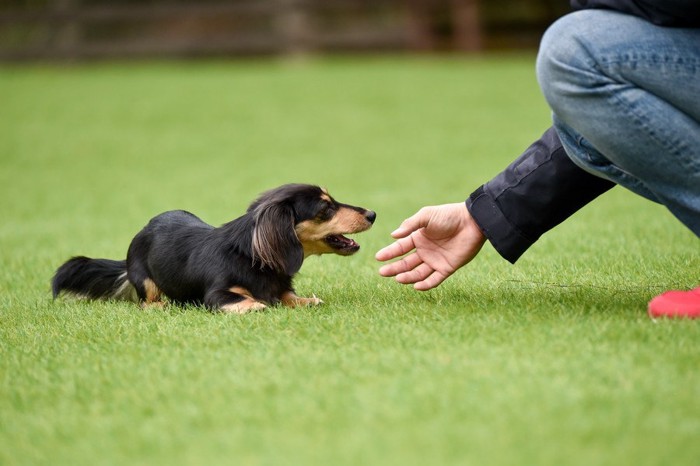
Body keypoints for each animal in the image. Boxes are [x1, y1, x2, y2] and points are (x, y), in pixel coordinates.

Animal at [53, 184, 378, 314]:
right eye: (326, 207)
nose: (373, 213)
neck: (252, 257)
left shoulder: (282, 288)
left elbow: (289, 297)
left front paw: (306, 300)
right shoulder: (216, 294)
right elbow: (244, 299)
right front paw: (255, 305)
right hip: (145, 279)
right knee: (147, 301)